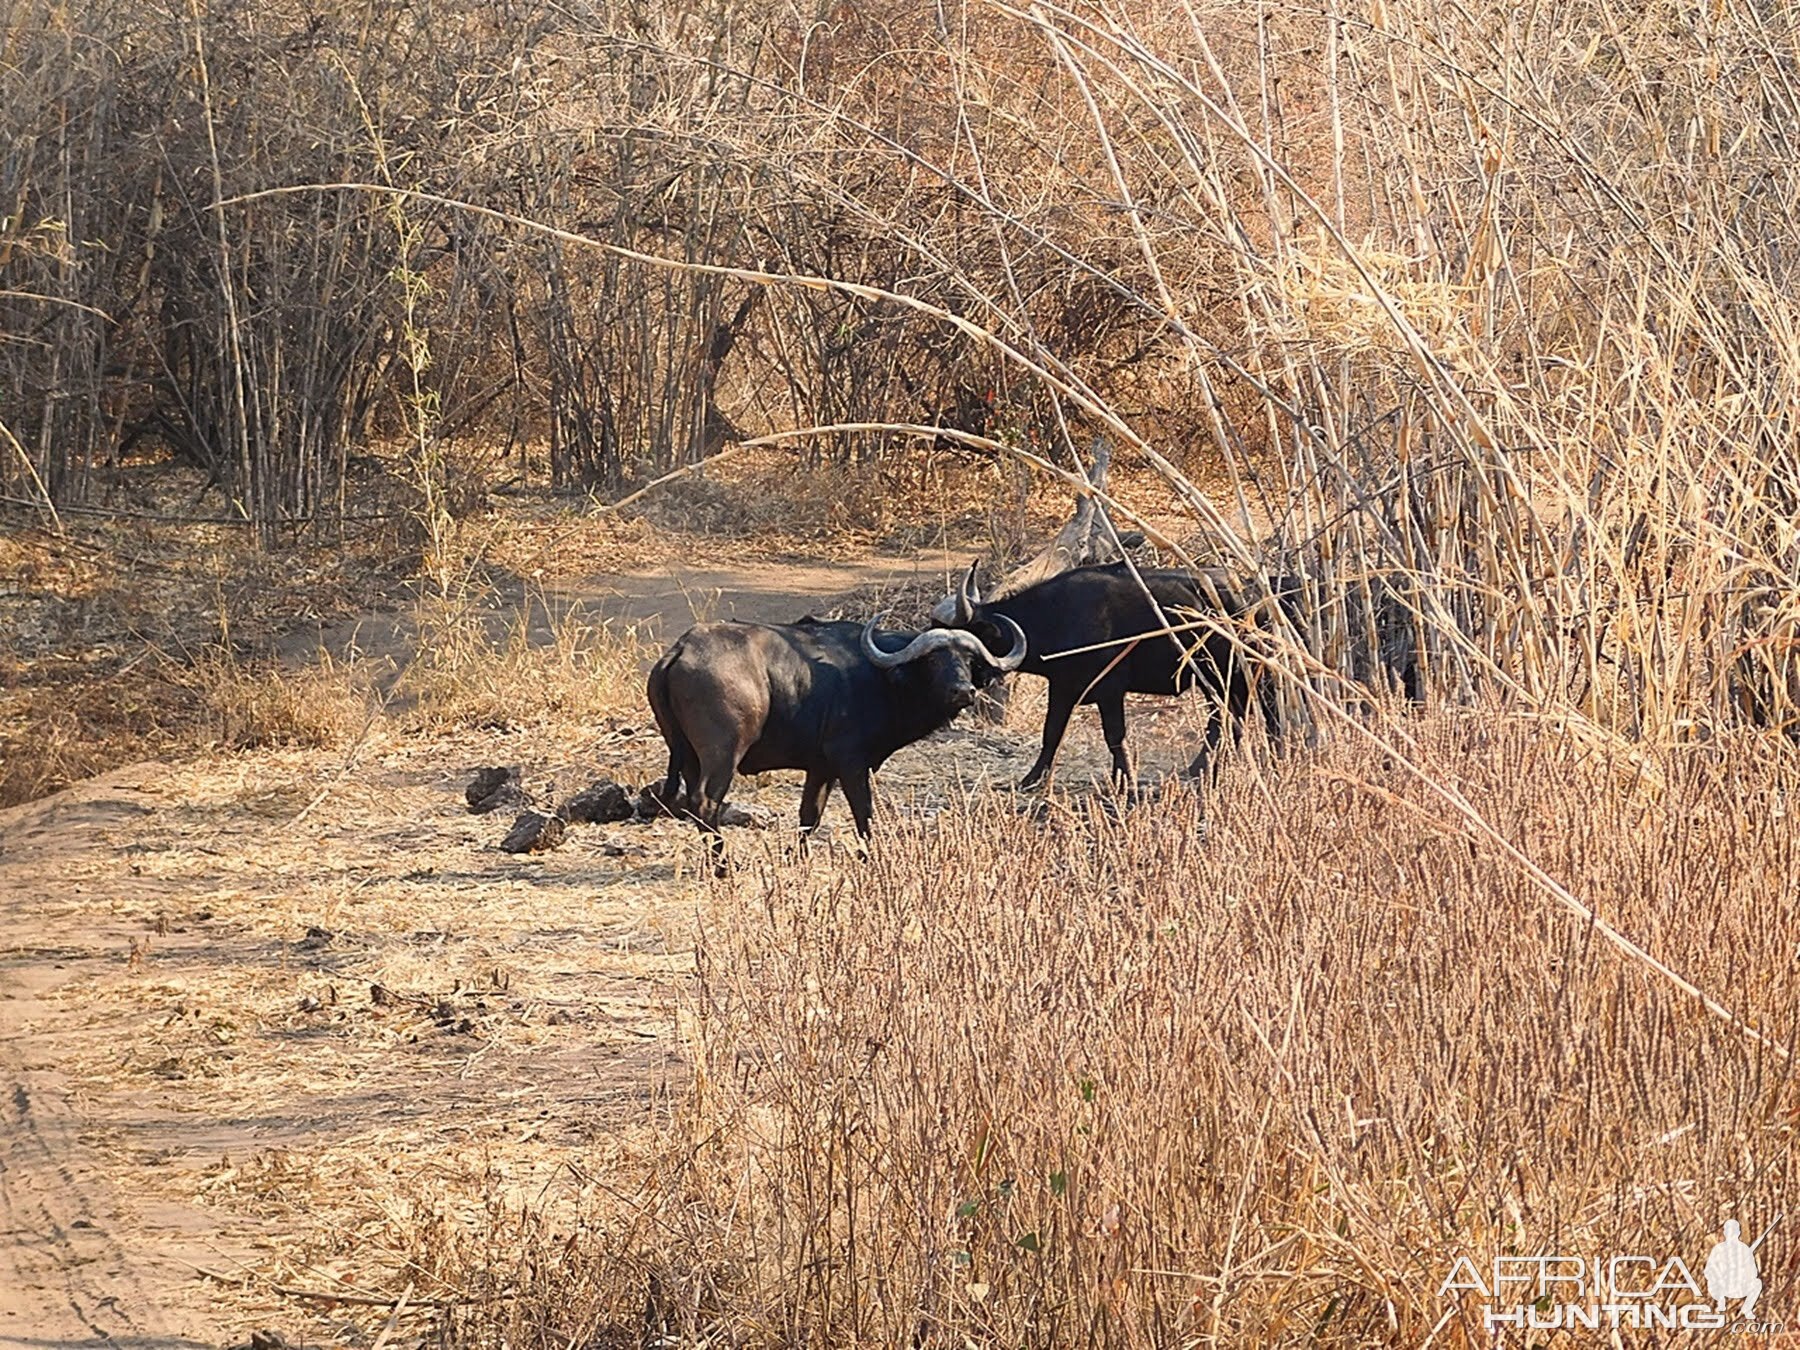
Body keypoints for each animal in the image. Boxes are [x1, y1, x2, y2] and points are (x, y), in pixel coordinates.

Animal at [648, 612, 1022, 856]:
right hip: (722, 753)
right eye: (933, 659)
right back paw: (723, 865)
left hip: (686, 754)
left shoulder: (821, 769)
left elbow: (809, 817)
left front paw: (797, 857)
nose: (963, 691)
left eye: (969, 660)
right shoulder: (851, 763)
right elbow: (864, 814)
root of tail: (681, 650)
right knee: (705, 801)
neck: (884, 677)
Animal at [936, 561, 1288, 792]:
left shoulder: (1109, 689)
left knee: (1263, 709)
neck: (1057, 615)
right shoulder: (1063, 687)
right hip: (1218, 678)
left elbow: (1114, 735)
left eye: (967, 642)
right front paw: (1031, 779)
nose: (955, 689)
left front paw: (1125, 779)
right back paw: (1203, 766)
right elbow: (1052, 733)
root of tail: (1255, 594)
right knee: (1230, 716)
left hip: (1241, 671)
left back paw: (1274, 756)